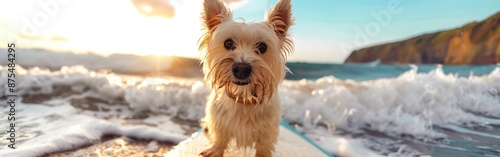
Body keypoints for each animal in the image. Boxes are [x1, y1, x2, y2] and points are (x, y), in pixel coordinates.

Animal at [197, 0, 292, 156]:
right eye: (228, 43)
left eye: (262, 47)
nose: (241, 69)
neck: (244, 97)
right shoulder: (219, 119)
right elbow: (219, 136)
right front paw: (215, 149)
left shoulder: (268, 131)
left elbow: (264, 147)